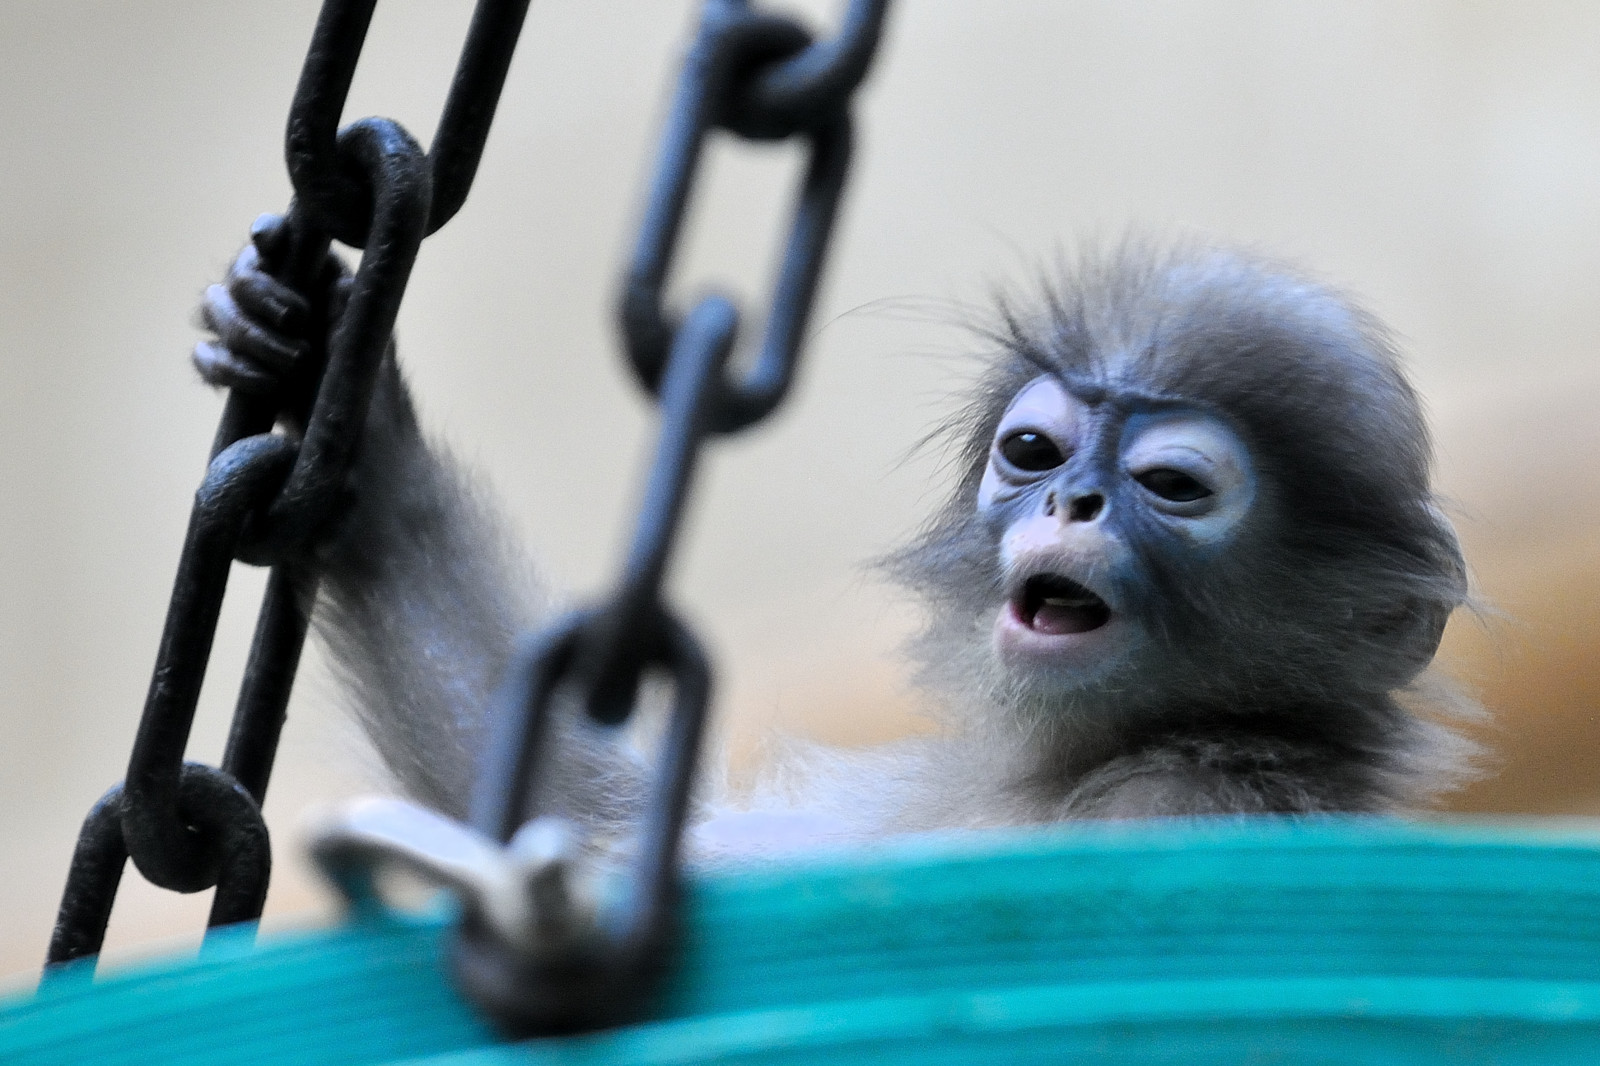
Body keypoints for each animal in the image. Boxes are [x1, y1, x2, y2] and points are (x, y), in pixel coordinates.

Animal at [194, 217, 1480, 854]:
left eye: (1169, 484)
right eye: (1034, 452)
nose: (1071, 504)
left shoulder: (1188, 815)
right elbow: (587, 818)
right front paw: (350, 417)